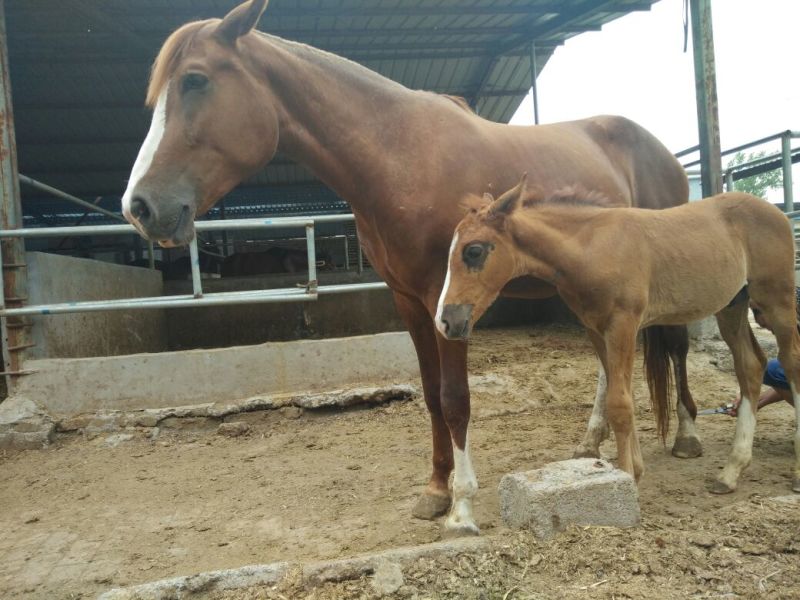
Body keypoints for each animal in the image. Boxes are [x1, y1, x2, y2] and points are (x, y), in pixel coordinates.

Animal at [120, 0, 697, 536]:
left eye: (195, 80)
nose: (138, 207)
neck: (399, 157)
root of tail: (659, 149)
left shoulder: (450, 298)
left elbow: (455, 398)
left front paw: (463, 506)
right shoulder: (411, 302)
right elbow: (430, 396)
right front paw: (436, 490)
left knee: (677, 346)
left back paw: (687, 435)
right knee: (607, 364)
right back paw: (590, 442)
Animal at [436, 175, 800, 494]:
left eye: (474, 251)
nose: (446, 321)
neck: (591, 247)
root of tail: (777, 212)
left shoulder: (623, 323)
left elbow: (620, 402)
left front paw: (627, 477)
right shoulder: (596, 329)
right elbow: (617, 394)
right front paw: (634, 469)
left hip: (777, 300)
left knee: (789, 361)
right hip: (732, 306)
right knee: (751, 367)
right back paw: (731, 471)